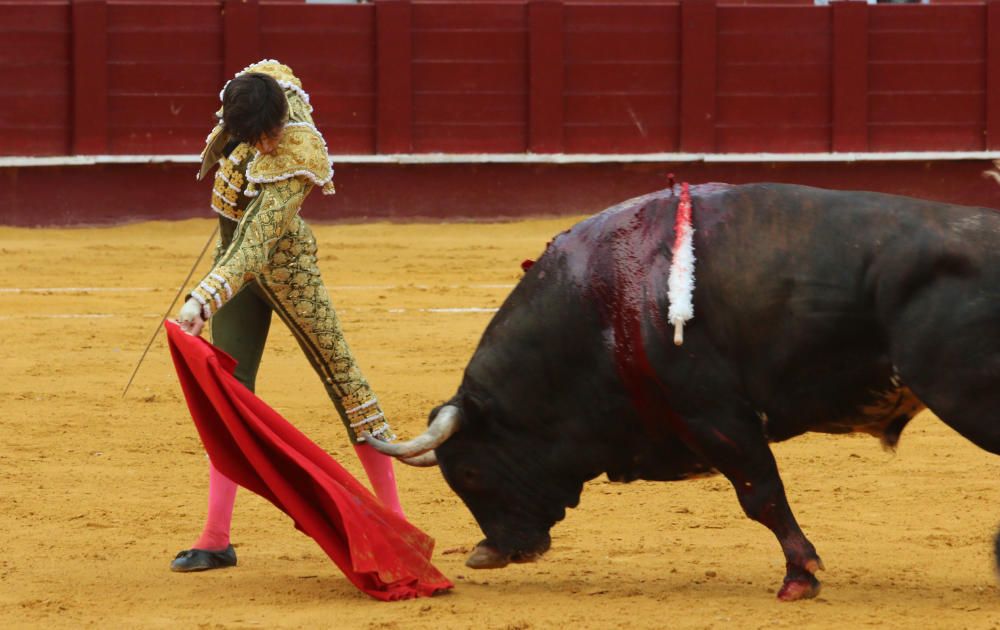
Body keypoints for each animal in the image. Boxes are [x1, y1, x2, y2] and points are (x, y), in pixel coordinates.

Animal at [366, 184, 1000, 604]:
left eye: (470, 473)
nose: (488, 554)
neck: (600, 305)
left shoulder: (714, 414)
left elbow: (762, 496)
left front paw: (800, 577)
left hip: (967, 396)